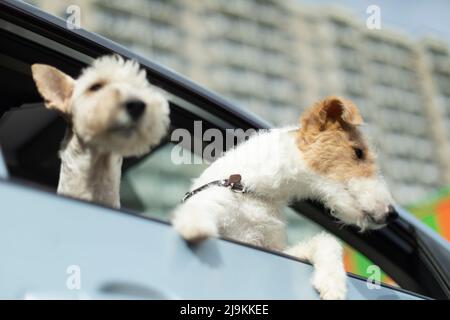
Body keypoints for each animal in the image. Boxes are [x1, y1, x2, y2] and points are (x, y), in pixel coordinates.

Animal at [172, 95, 398, 300]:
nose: (392, 214)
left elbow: (326, 241)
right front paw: (194, 226)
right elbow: (199, 210)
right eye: (358, 152)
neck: (250, 189)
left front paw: (333, 283)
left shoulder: (276, 249)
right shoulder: (214, 204)